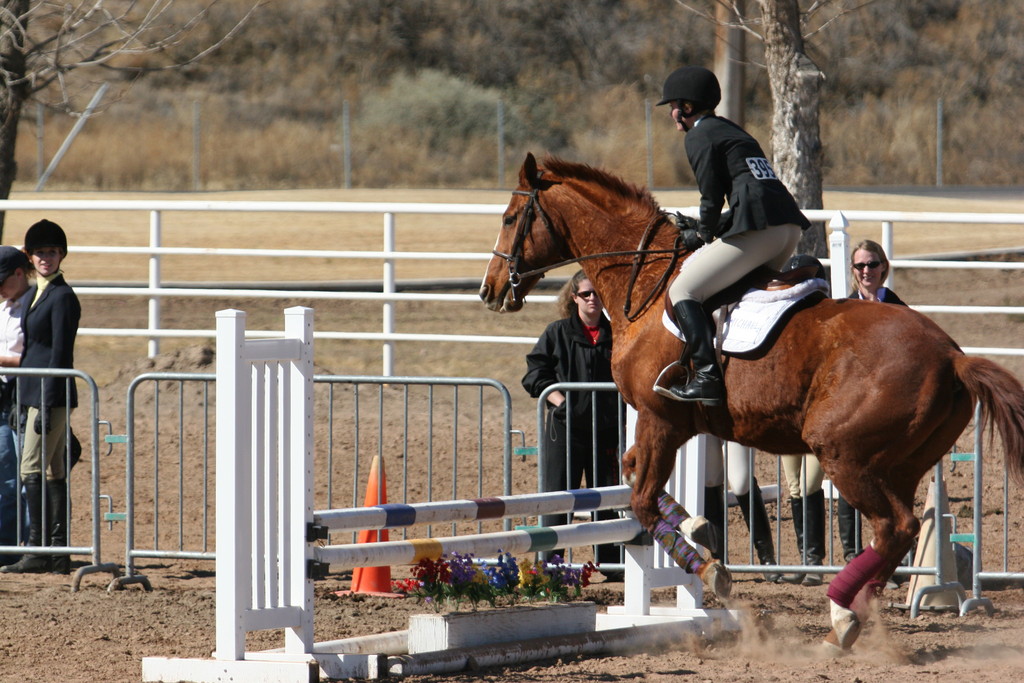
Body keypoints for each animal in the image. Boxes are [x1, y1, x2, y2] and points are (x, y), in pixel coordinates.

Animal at [477, 153, 1024, 651]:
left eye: (509, 218)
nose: (489, 289)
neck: (646, 280)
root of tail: (953, 355)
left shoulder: (659, 418)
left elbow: (642, 501)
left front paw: (708, 566)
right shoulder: (671, 426)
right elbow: (633, 474)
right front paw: (698, 525)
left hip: (844, 453)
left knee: (895, 526)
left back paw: (841, 614)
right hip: (902, 462)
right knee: (898, 531)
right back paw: (849, 615)